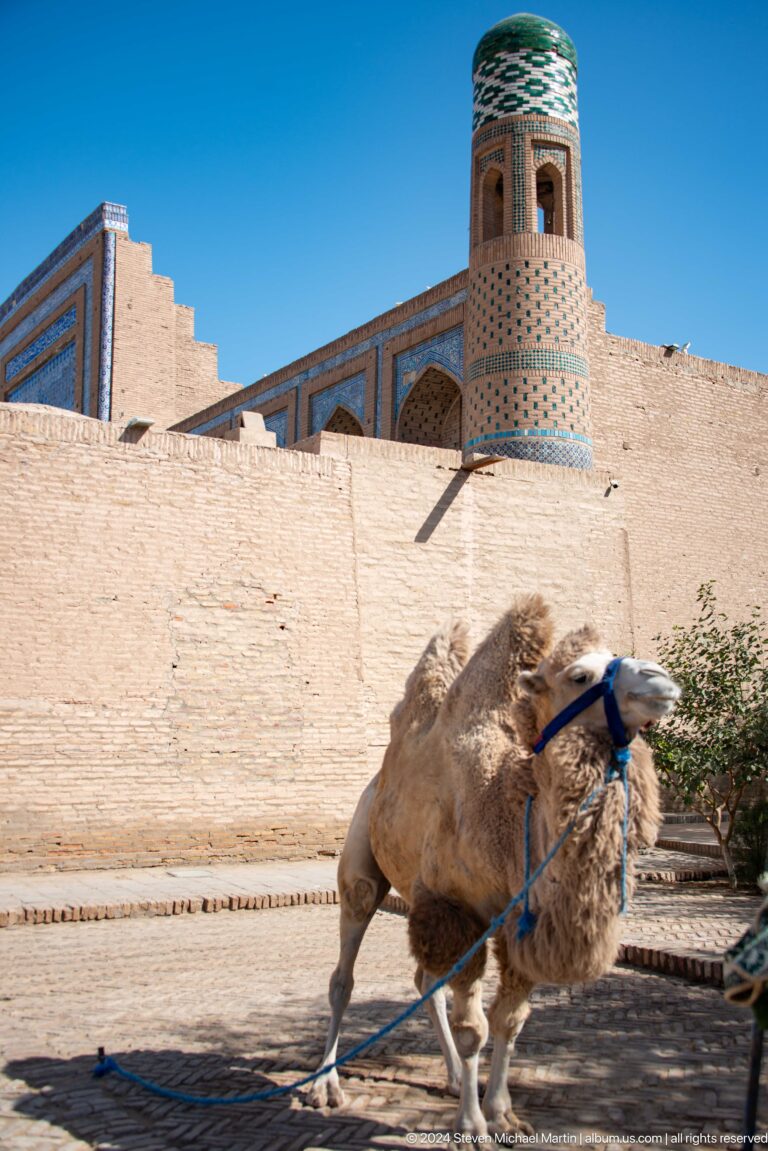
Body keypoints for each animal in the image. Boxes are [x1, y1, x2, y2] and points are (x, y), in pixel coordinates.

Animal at [307, 594, 680, 1135]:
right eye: (579, 676)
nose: (661, 680)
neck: (508, 814)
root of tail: (375, 784)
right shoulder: (456, 910)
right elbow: (473, 1030)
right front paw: (471, 1124)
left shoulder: (519, 919)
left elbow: (510, 1020)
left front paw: (502, 1111)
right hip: (362, 866)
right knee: (345, 974)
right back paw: (325, 1085)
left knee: (426, 983)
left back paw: (448, 1078)